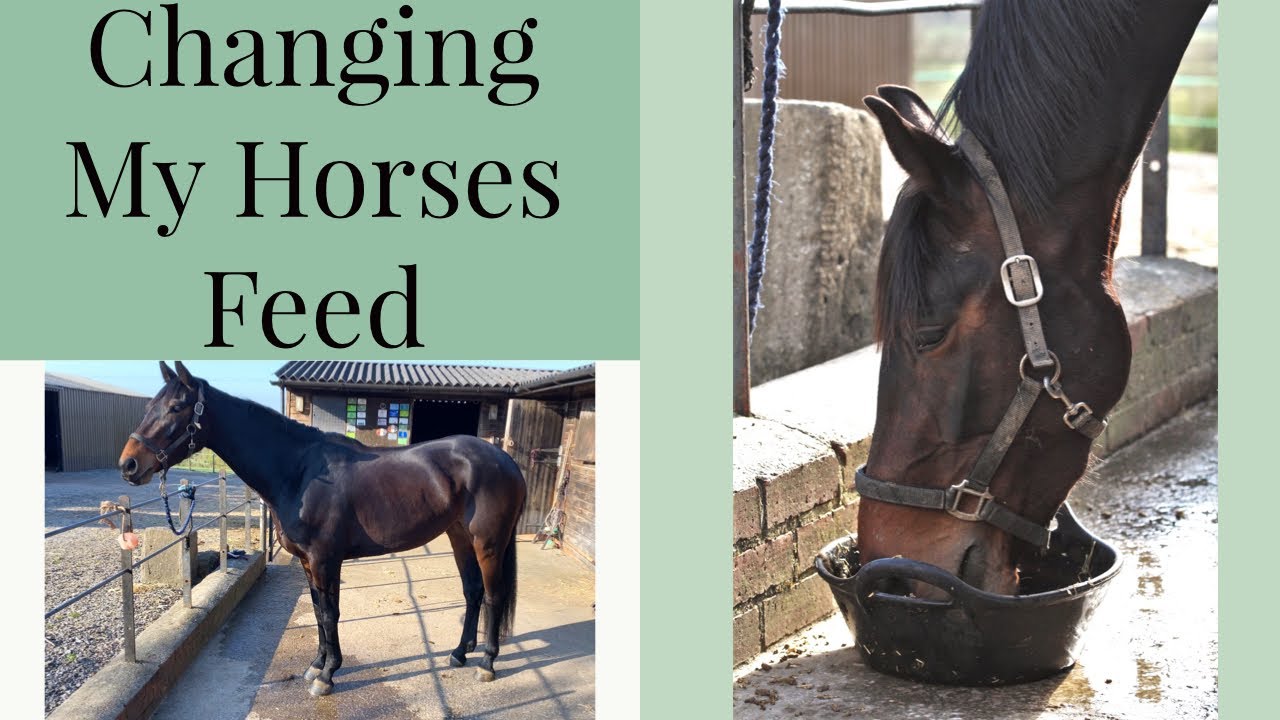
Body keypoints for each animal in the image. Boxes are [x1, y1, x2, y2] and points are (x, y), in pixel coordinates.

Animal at [117, 361, 527, 696]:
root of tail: (505, 459)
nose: (129, 464)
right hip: (459, 537)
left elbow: (330, 614)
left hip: (488, 543)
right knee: (473, 592)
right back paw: (459, 653)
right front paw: (316, 665)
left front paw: (328, 676)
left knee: (493, 596)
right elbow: (317, 611)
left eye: (176, 408)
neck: (299, 472)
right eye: (149, 407)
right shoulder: (307, 561)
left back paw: (487, 663)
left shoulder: (325, 560)